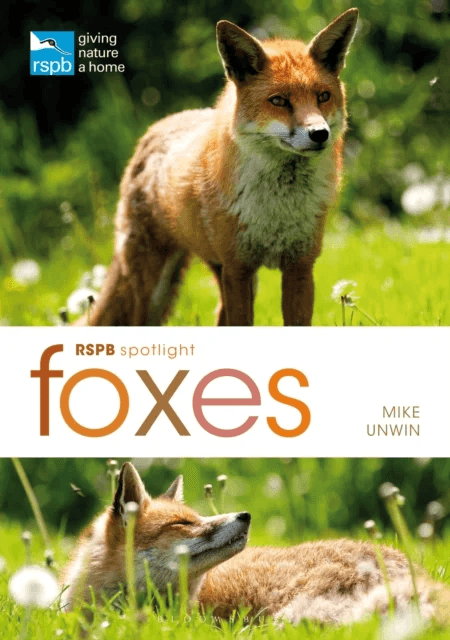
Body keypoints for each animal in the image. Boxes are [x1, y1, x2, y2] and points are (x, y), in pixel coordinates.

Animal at [83, 9, 359, 327]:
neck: (277, 209)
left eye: (323, 96)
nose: (319, 134)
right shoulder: (238, 268)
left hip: (220, 273)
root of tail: (157, 127)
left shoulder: (299, 267)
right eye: (279, 101)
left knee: (218, 317)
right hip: (157, 284)